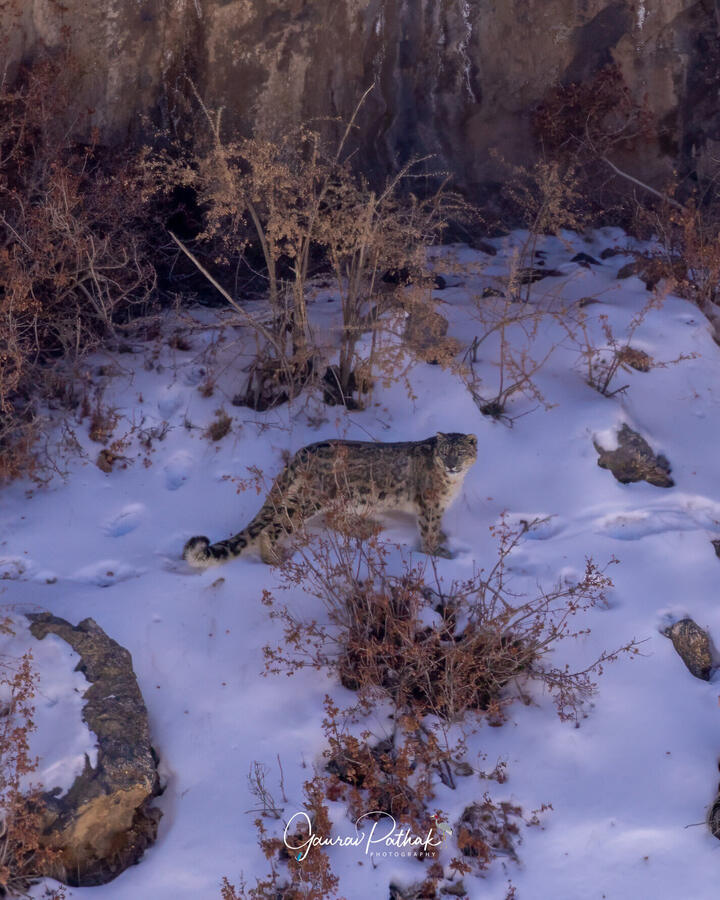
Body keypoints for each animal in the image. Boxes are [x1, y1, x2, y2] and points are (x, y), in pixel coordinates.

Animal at [183, 432, 477, 567]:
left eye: (461, 452)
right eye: (445, 451)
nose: (451, 464)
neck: (454, 483)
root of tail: (304, 452)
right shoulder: (430, 506)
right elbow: (428, 530)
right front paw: (436, 554)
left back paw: (366, 529)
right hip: (312, 500)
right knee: (276, 526)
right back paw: (276, 559)